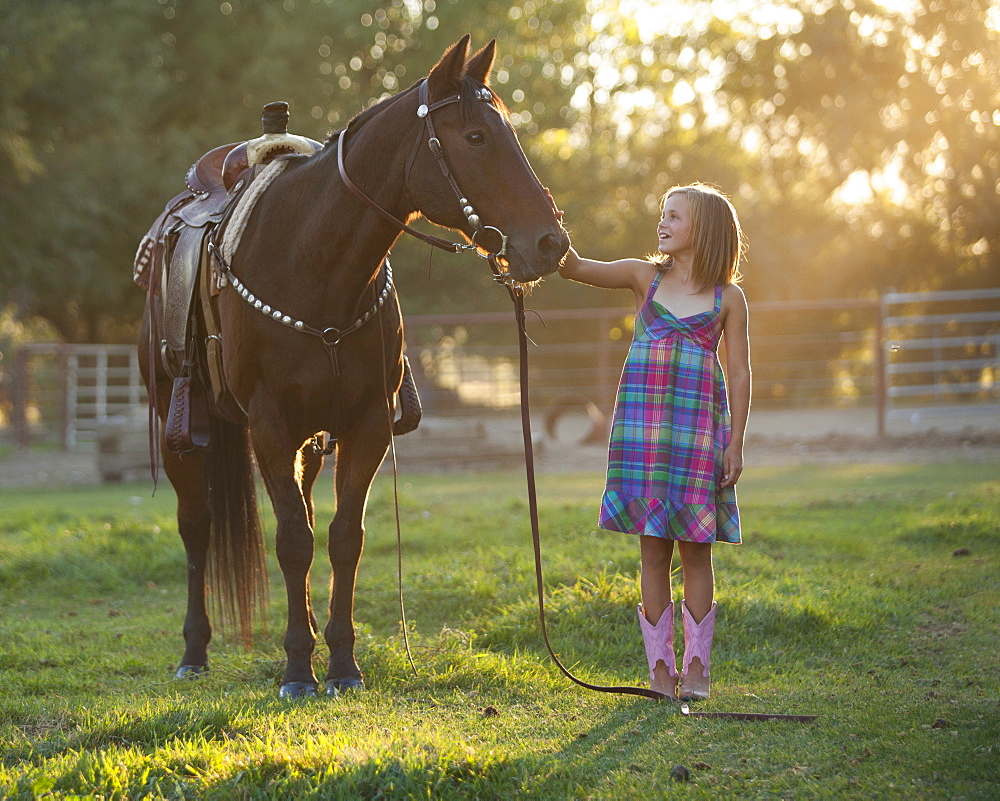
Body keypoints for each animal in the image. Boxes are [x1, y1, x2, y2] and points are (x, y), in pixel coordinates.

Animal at [137, 36, 572, 692]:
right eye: (475, 136)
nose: (550, 243)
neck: (312, 263)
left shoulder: (364, 425)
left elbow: (343, 537)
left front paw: (340, 661)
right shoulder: (269, 426)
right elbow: (293, 540)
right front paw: (298, 667)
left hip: (310, 442)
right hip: (180, 420)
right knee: (198, 526)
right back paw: (195, 652)